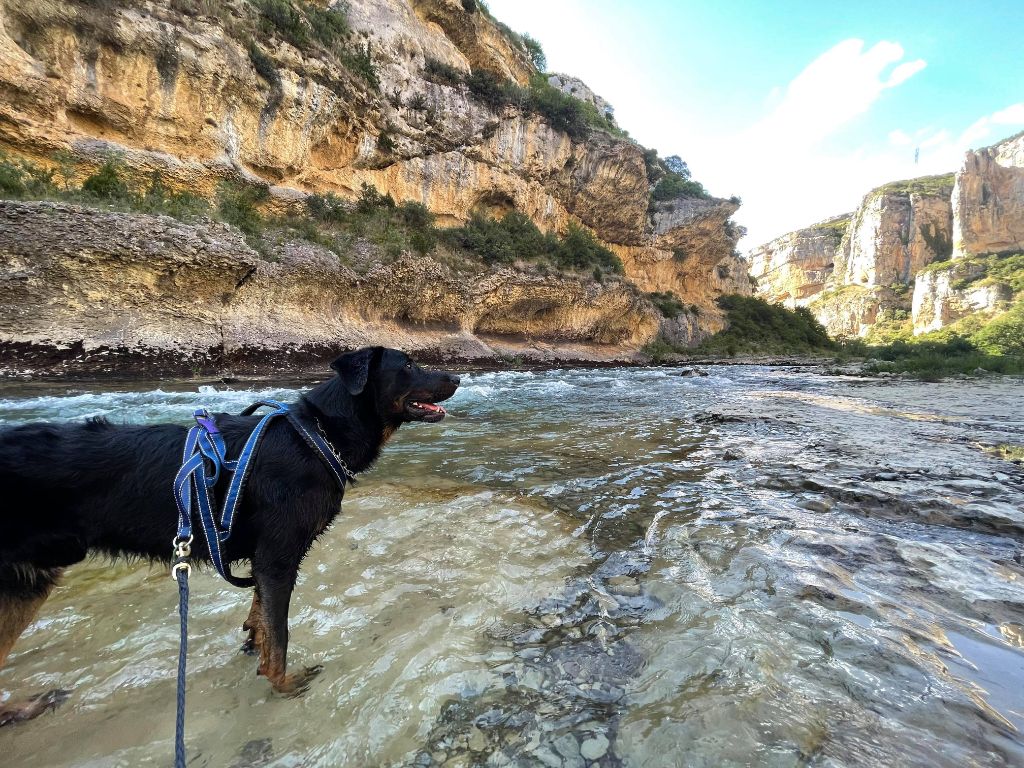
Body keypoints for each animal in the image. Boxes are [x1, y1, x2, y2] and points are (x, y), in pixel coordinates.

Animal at [0, 348, 458, 729]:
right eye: (409, 364)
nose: (456, 376)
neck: (317, 435)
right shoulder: (277, 557)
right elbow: (281, 635)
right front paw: (284, 683)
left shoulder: (264, 561)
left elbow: (260, 615)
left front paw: (255, 642)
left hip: (27, 583)